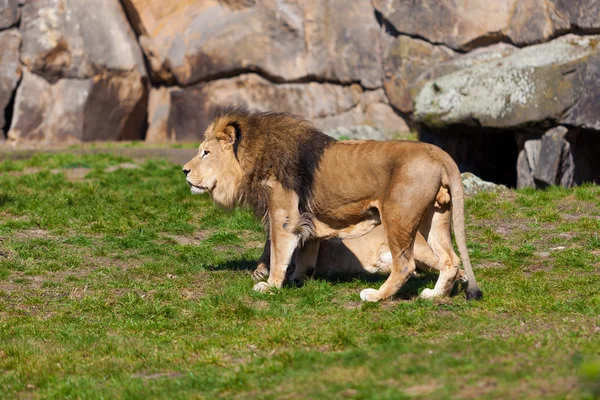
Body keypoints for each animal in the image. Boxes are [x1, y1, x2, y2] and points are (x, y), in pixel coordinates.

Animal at [183, 108, 482, 302]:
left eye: (205, 153)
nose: (184, 171)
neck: (252, 158)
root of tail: (437, 151)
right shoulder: (305, 220)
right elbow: (304, 255)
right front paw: (297, 280)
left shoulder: (284, 216)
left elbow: (279, 253)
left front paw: (271, 286)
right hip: (435, 215)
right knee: (450, 260)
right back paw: (434, 295)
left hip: (398, 216)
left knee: (406, 265)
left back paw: (376, 296)